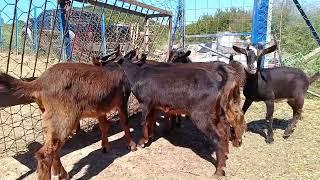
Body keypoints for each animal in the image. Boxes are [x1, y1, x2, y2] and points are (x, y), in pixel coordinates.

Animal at [0, 61, 136, 179]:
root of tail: (39, 82)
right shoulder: (122, 100)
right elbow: (125, 122)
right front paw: (131, 145)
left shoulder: (100, 108)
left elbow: (104, 126)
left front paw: (105, 147)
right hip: (64, 118)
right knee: (45, 154)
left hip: (50, 118)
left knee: (54, 147)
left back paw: (61, 173)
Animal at [106, 48, 246, 176]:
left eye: (110, 58)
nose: (101, 62)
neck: (137, 74)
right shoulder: (154, 105)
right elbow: (150, 120)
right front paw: (149, 138)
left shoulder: (145, 102)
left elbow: (143, 121)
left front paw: (142, 141)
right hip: (219, 112)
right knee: (226, 128)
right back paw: (227, 154)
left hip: (202, 115)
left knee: (219, 137)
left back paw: (219, 170)